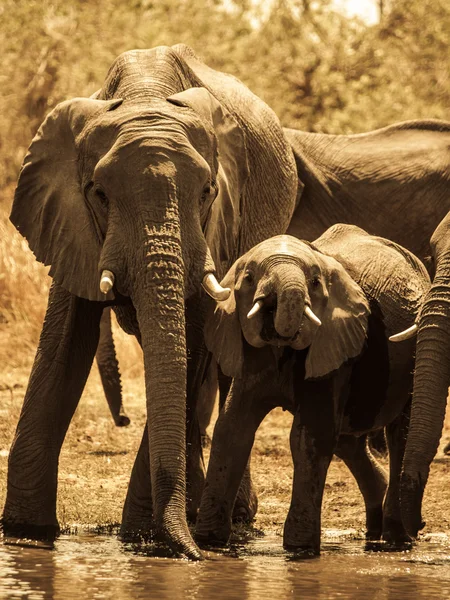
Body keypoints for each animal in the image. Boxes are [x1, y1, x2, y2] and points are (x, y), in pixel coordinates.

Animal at [3, 44, 300, 560]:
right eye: (99, 193)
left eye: (207, 192)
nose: (194, 555)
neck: (145, 95)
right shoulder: (68, 218)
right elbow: (62, 347)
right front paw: (24, 536)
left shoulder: (219, 227)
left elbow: (194, 342)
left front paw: (143, 539)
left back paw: (226, 521)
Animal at [196, 224, 428, 552]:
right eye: (249, 278)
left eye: (316, 283)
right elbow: (233, 428)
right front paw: (209, 542)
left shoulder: (333, 340)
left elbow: (309, 434)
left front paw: (299, 548)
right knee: (348, 440)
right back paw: (375, 529)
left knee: (399, 436)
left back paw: (395, 540)